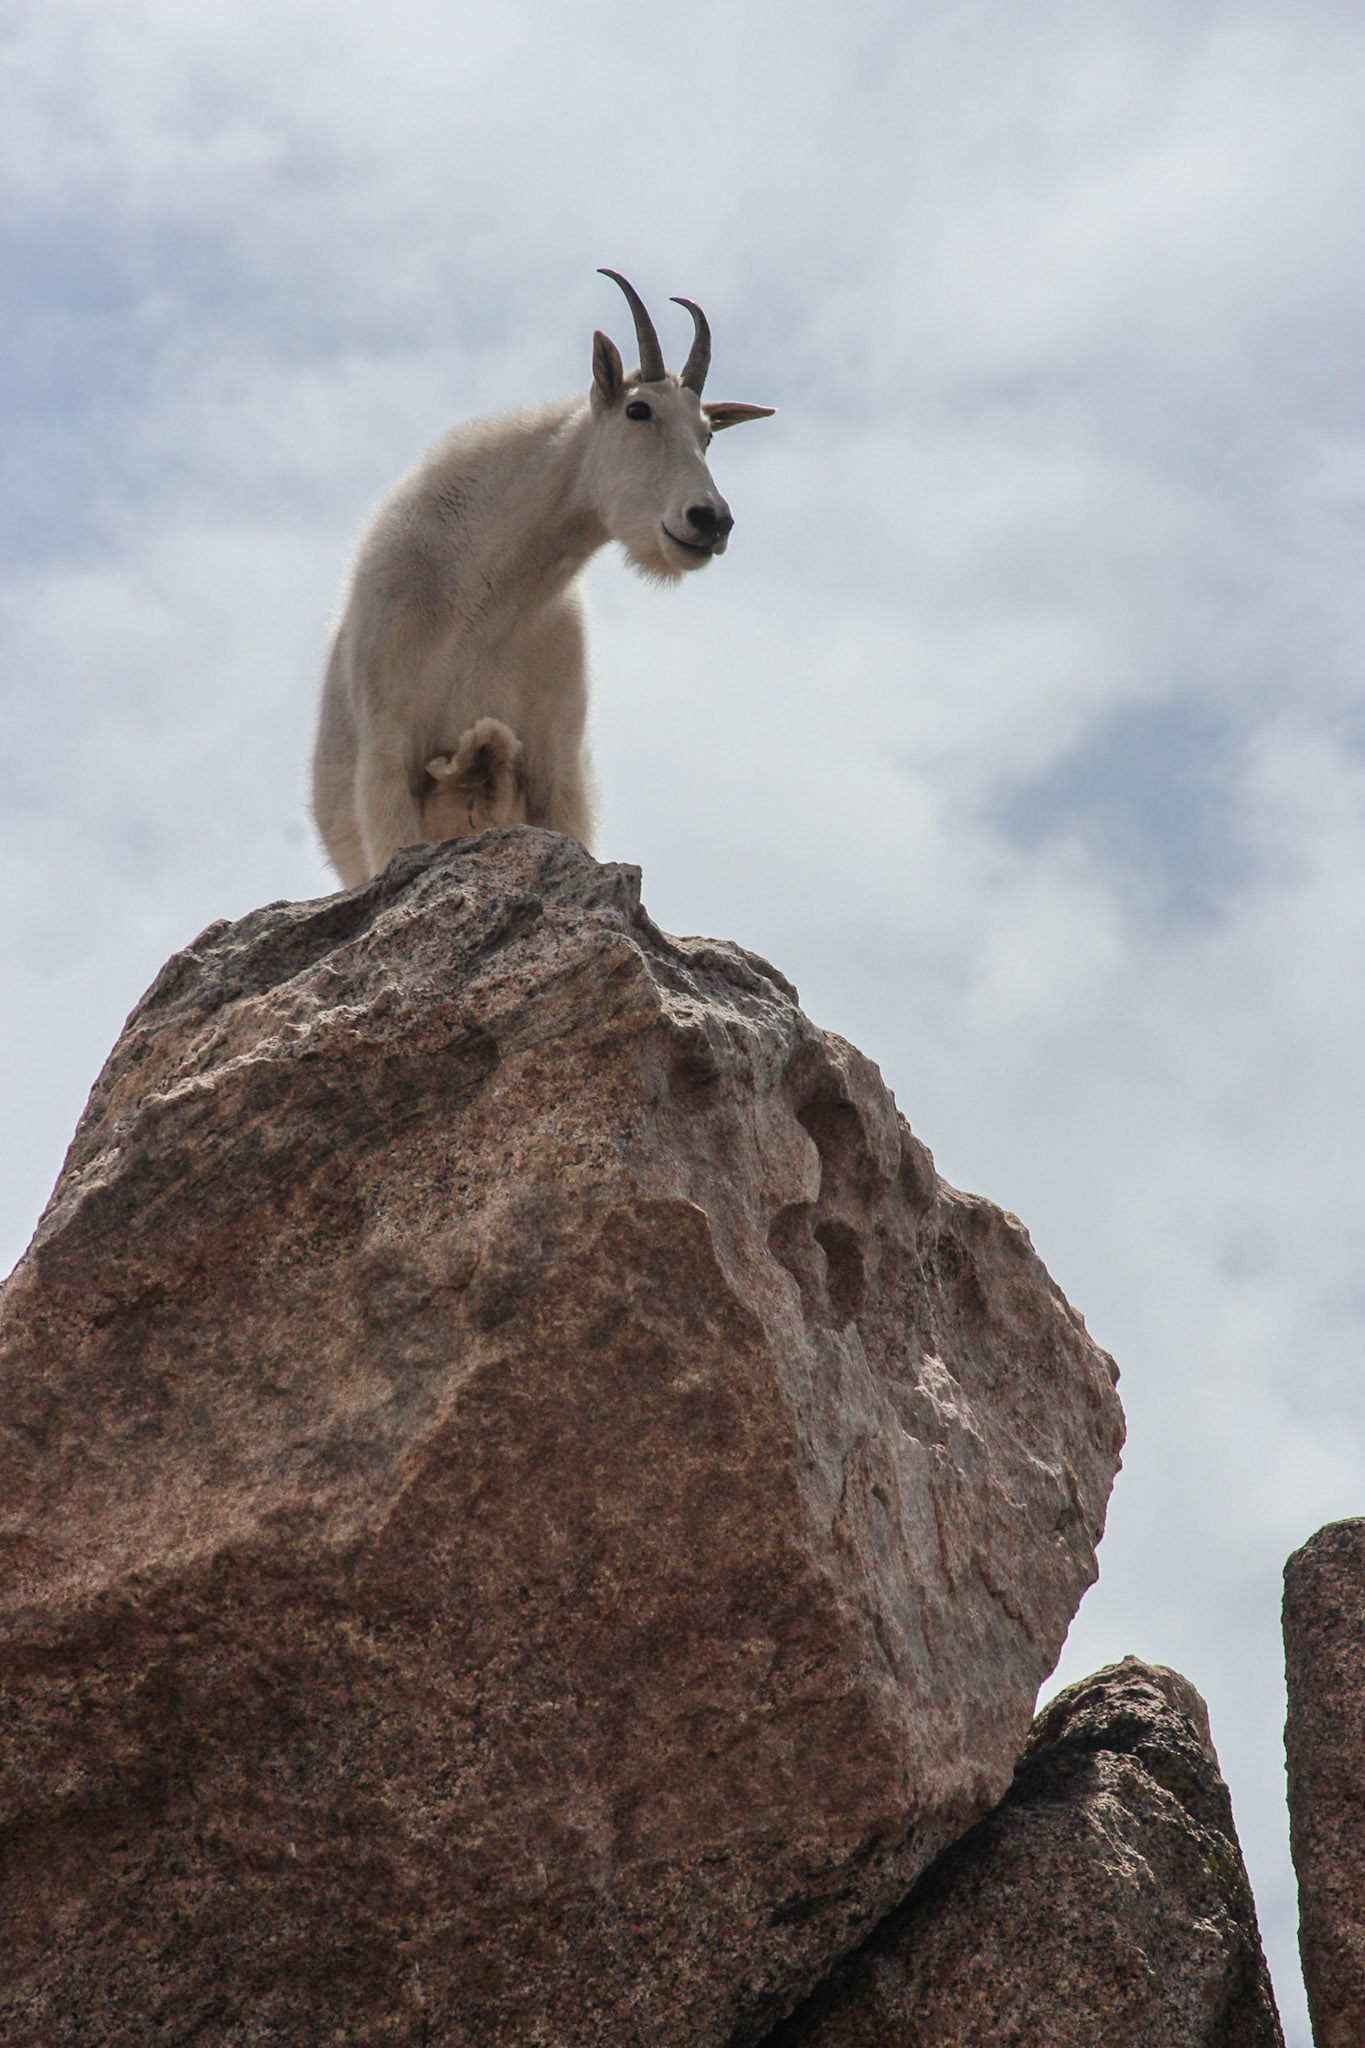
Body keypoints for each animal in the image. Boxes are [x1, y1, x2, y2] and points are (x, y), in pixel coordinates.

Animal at [312, 270, 774, 884]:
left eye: (709, 435)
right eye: (638, 410)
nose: (710, 520)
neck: (487, 602)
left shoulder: (556, 763)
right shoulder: (389, 754)